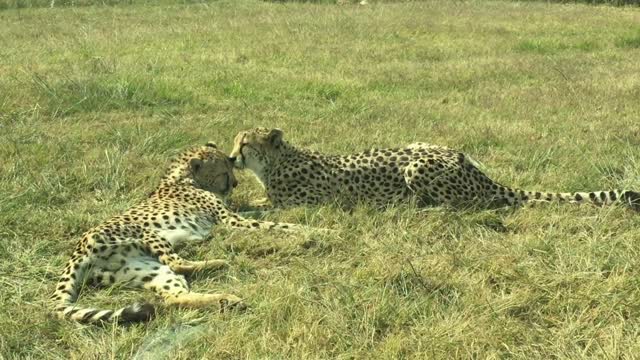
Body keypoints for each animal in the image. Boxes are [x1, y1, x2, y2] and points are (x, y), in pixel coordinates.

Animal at [53, 141, 304, 324]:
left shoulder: (231, 213)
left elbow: (261, 212)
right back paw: (219, 263)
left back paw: (227, 299)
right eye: (224, 172)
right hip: (147, 234)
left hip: (144, 269)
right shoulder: (229, 220)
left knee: (174, 297)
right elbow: (271, 224)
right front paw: (307, 229)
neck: (182, 179)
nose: (235, 184)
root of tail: (77, 251)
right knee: (177, 263)